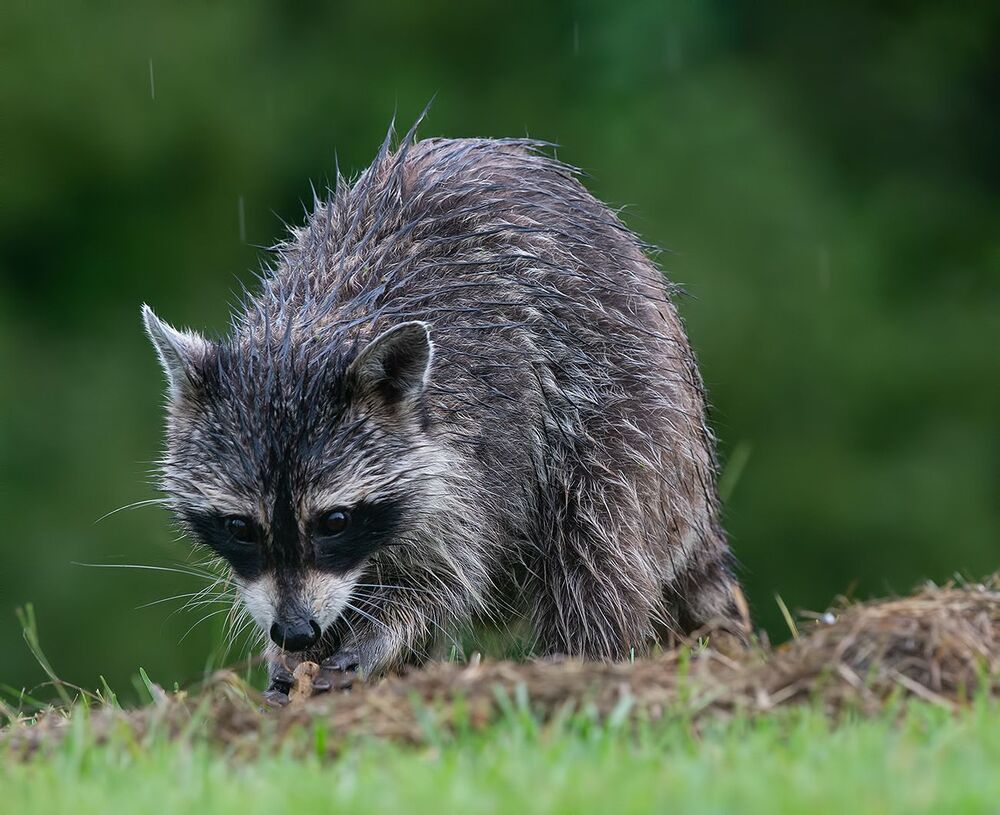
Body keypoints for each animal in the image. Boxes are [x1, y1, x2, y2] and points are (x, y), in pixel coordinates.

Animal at [142, 126, 745, 691]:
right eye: (240, 527)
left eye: (334, 521)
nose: (296, 632)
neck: (314, 332)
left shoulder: (482, 438)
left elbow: (450, 579)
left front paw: (385, 632)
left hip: (623, 401)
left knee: (598, 541)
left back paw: (577, 659)